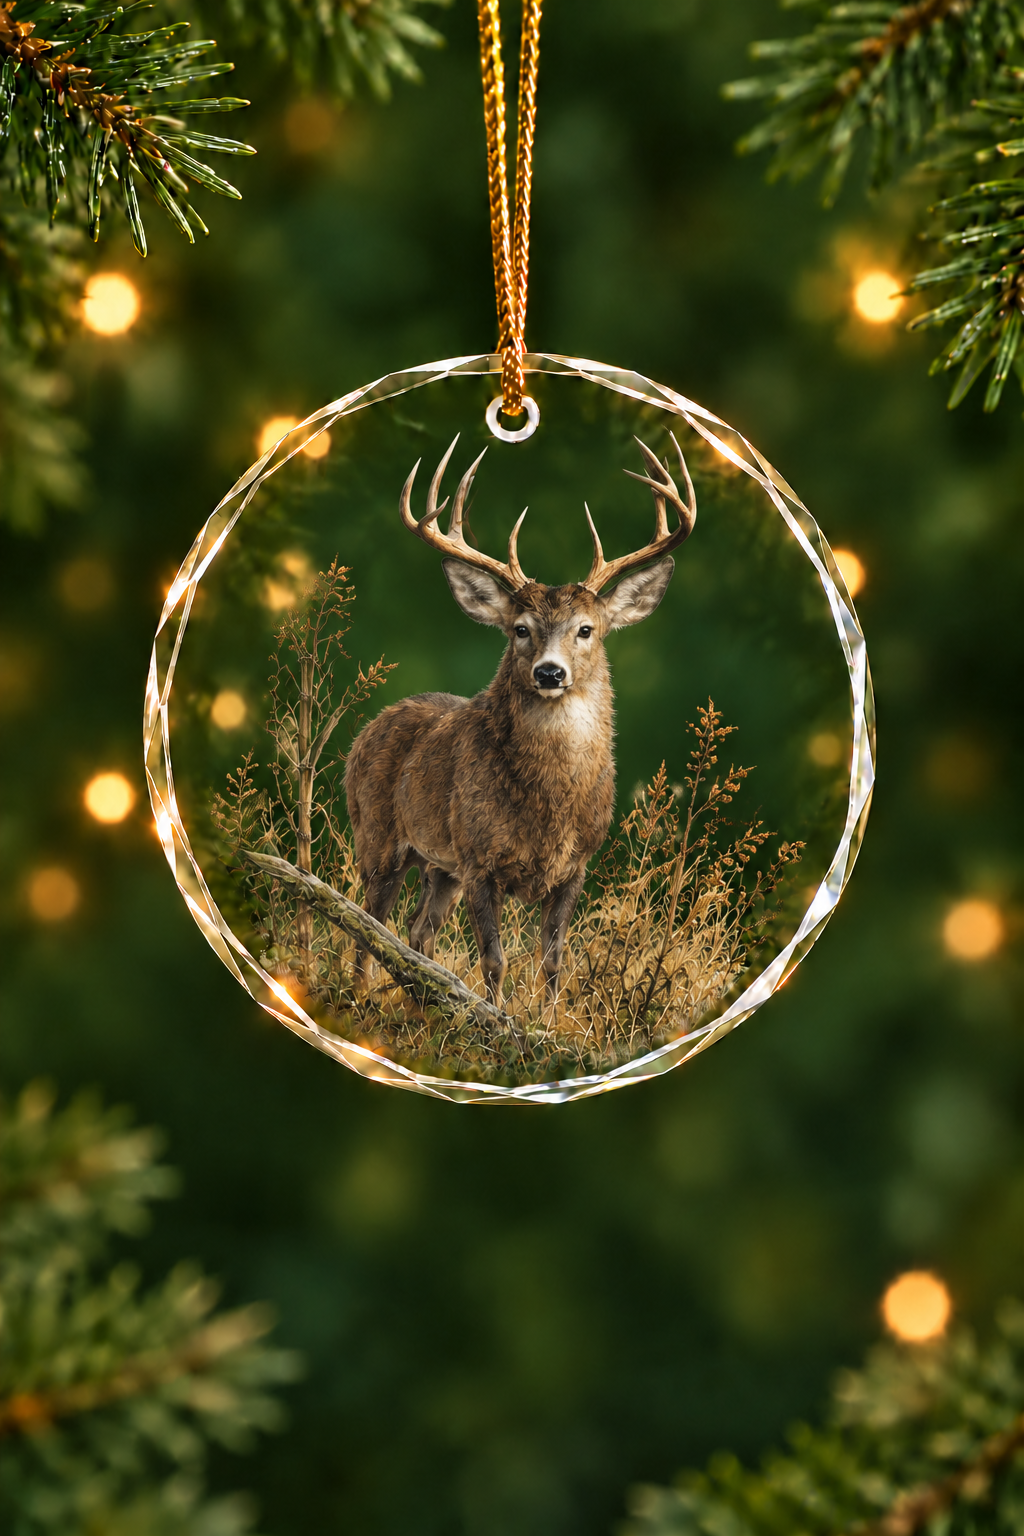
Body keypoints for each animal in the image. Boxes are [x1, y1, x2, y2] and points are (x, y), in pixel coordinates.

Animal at [344, 431, 696, 1009]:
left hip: (439, 866)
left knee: (418, 931)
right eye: (520, 629)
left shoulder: (576, 865)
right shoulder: (479, 858)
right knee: (366, 926)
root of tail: (369, 728)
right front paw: (497, 1020)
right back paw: (361, 998)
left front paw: (547, 1022)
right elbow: (495, 960)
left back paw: (422, 1007)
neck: (548, 806)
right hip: (377, 836)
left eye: (586, 629)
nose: (550, 672)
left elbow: (552, 961)